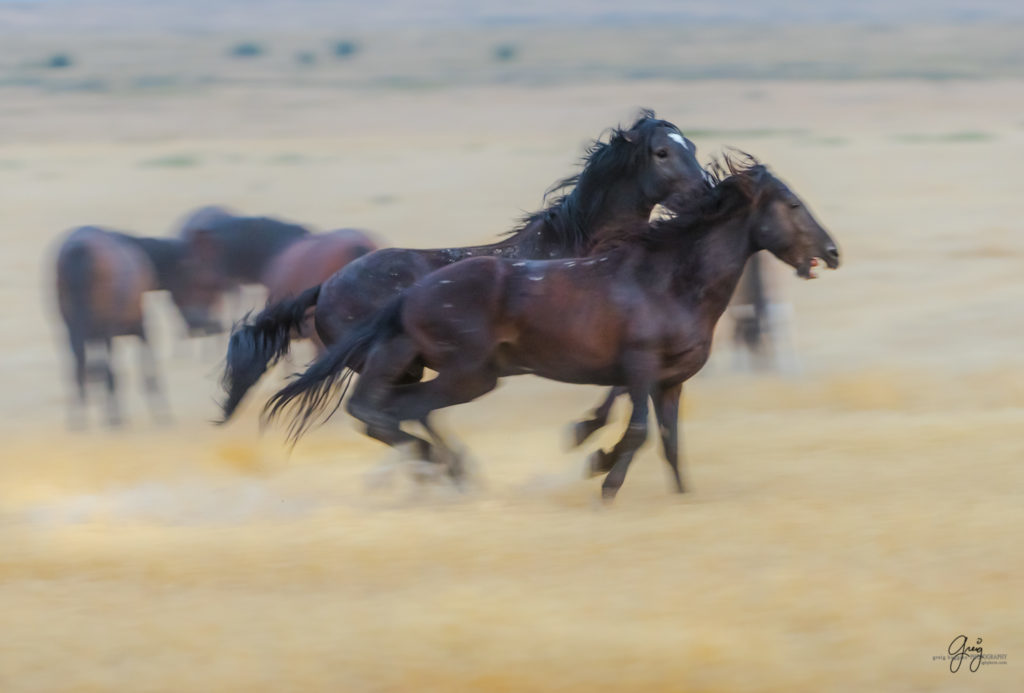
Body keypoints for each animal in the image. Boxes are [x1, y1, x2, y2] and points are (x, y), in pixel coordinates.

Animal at [52, 225, 225, 427]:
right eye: (206, 281)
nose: (212, 326)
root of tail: (79, 250)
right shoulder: (139, 326)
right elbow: (147, 368)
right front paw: (161, 414)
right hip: (105, 329)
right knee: (105, 368)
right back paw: (113, 417)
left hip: (75, 330)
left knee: (80, 367)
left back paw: (81, 421)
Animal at [262, 157, 839, 497]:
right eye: (792, 204)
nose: (832, 252)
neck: (670, 279)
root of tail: (408, 293)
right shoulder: (638, 367)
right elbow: (635, 428)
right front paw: (602, 474)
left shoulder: (670, 380)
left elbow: (669, 440)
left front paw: (677, 494)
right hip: (466, 375)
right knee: (396, 412)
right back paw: (440, 470)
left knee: (382, 411)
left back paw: (434, 472)